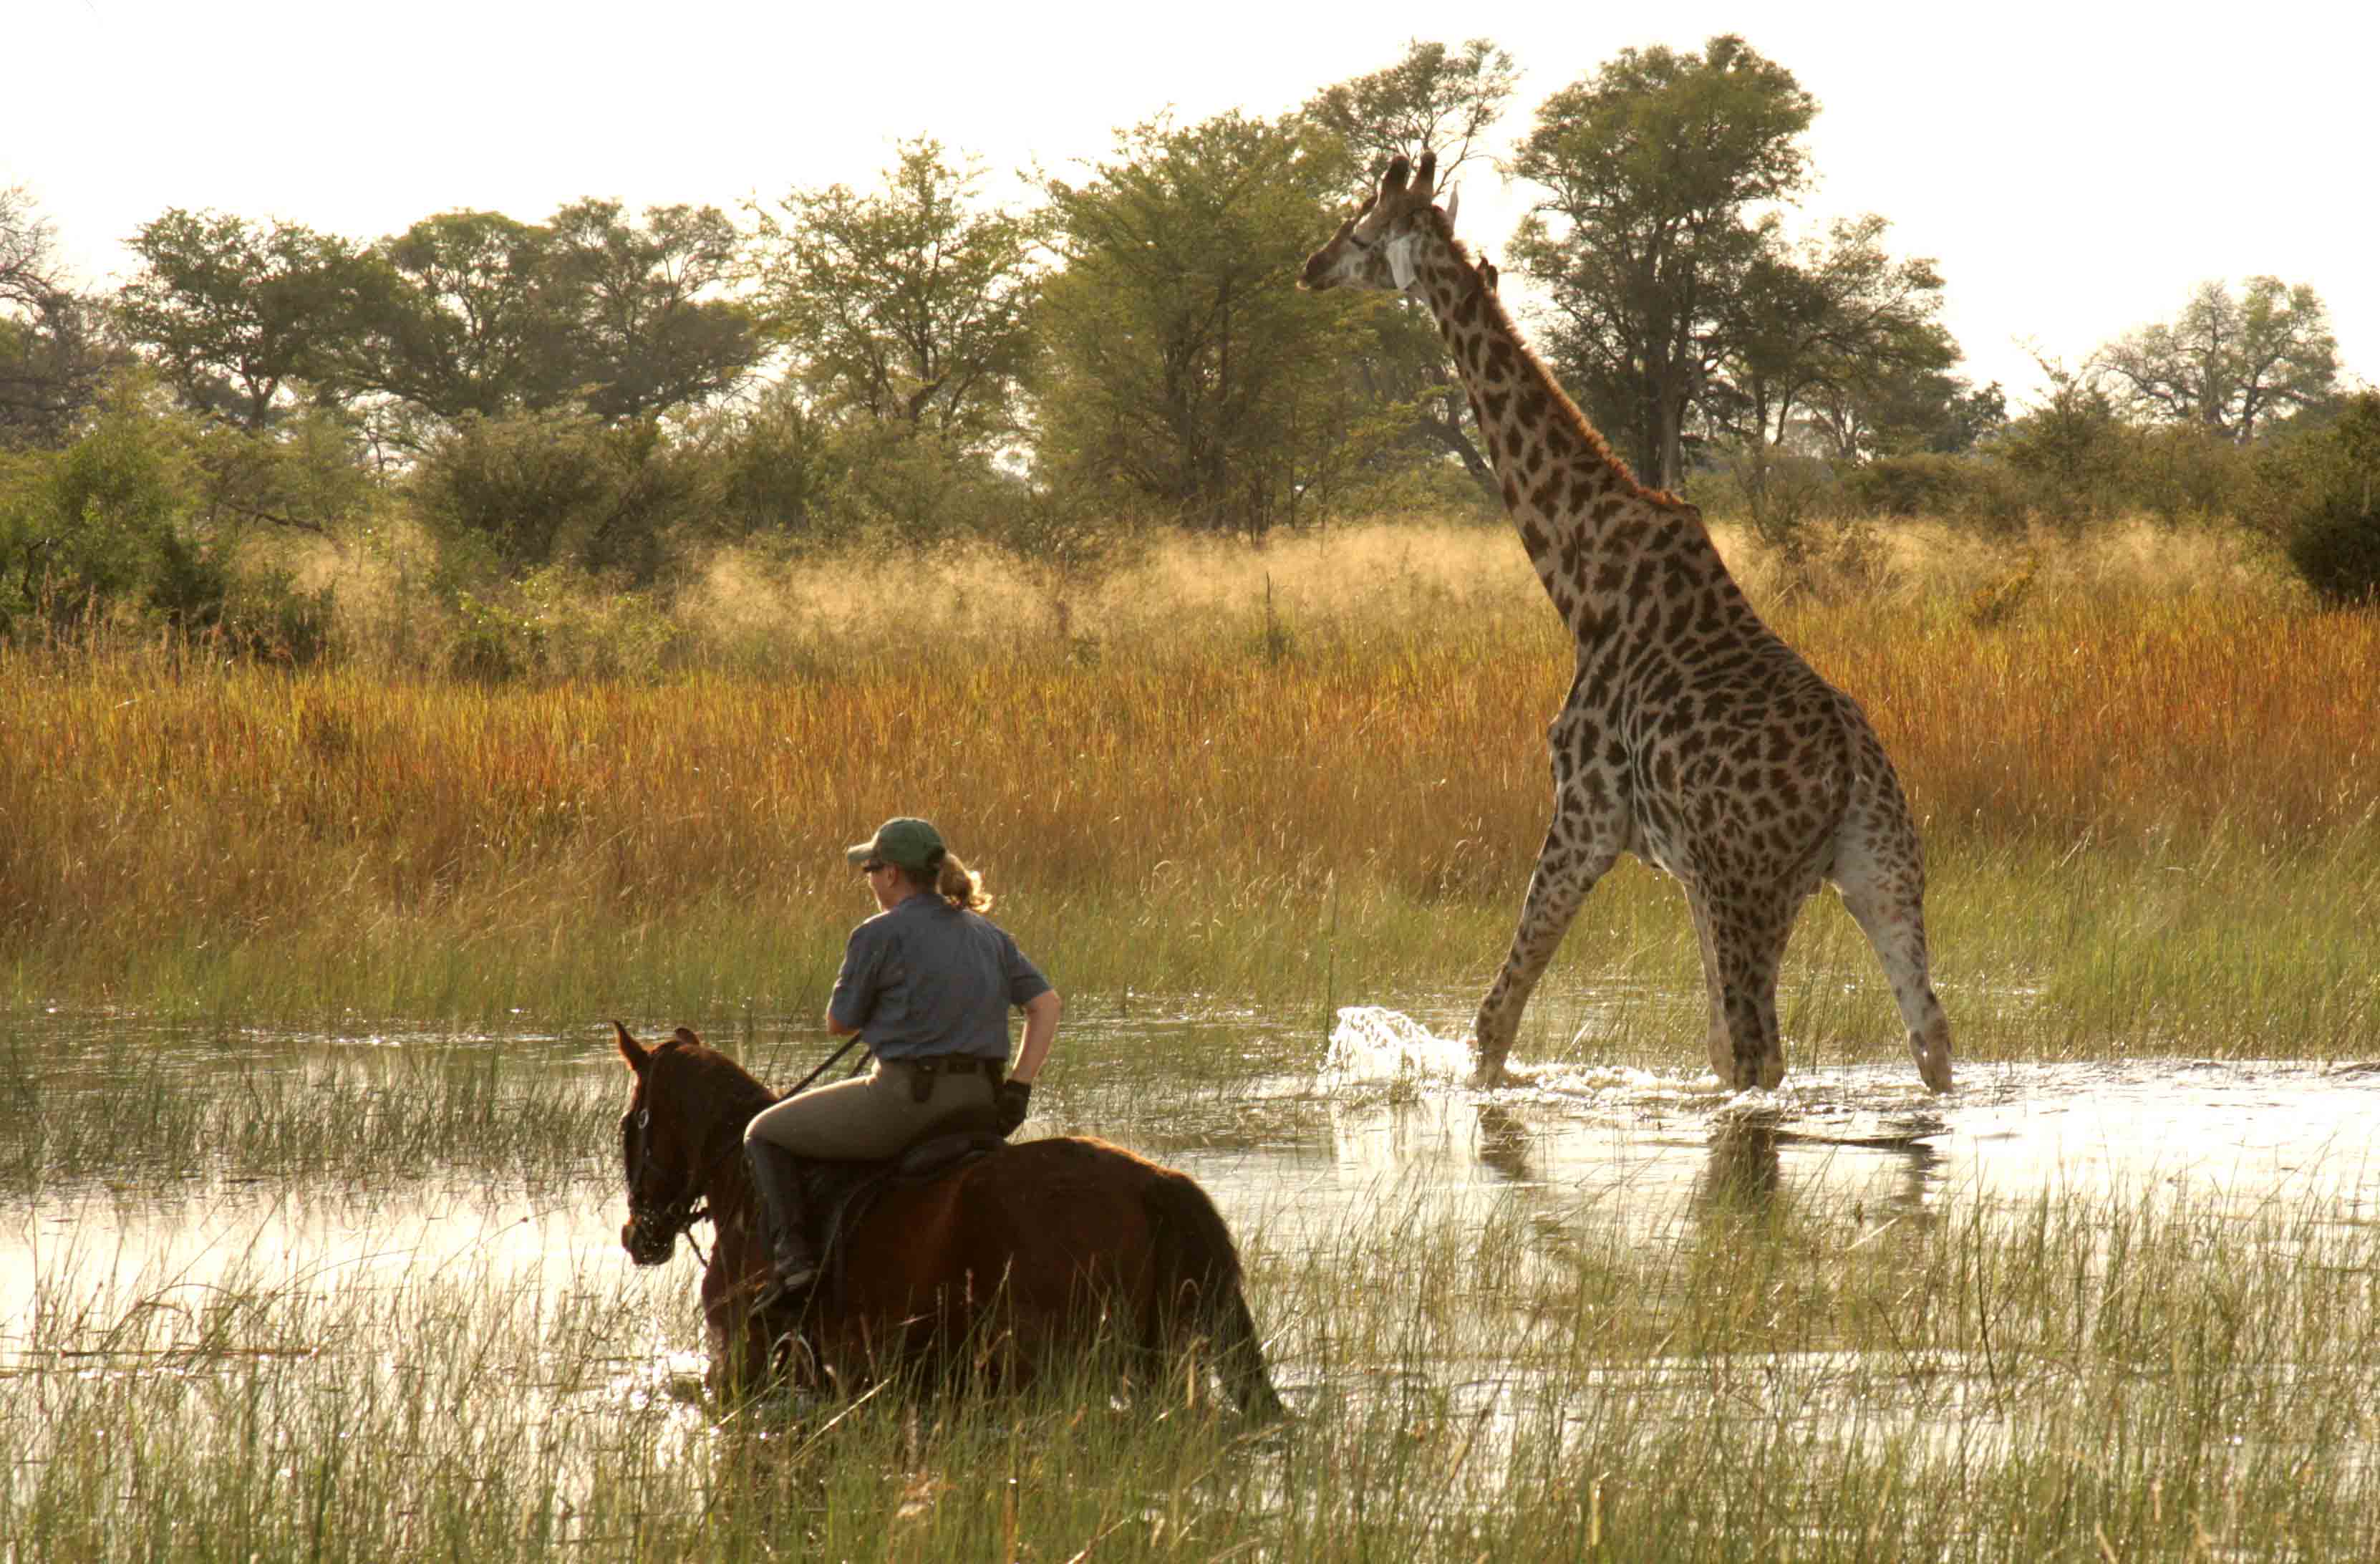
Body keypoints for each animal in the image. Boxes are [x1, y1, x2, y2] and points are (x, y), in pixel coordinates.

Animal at [1304, 152, 1951, 1090]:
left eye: (1359, 229)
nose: (1309, 267)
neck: (1580, 579)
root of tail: (1847, 769)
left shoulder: (1585, 813)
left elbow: (1495, 1020)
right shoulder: (1682, 866)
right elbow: (1706, 1046)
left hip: (1754, 884)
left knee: (1763, 1047)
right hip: (1881, 870)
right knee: (1926, 1036)